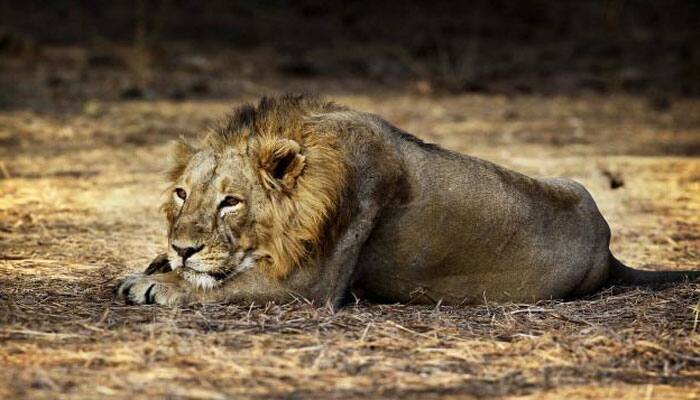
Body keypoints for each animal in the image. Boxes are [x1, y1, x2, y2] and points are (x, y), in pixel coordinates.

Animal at [116, 94, 700, 306]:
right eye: (181, 193)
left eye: (230, 202)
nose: (182, 248)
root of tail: (607, 247)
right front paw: (156, 264)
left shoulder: (312, 284)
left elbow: (221, 286)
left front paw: (156, 282)